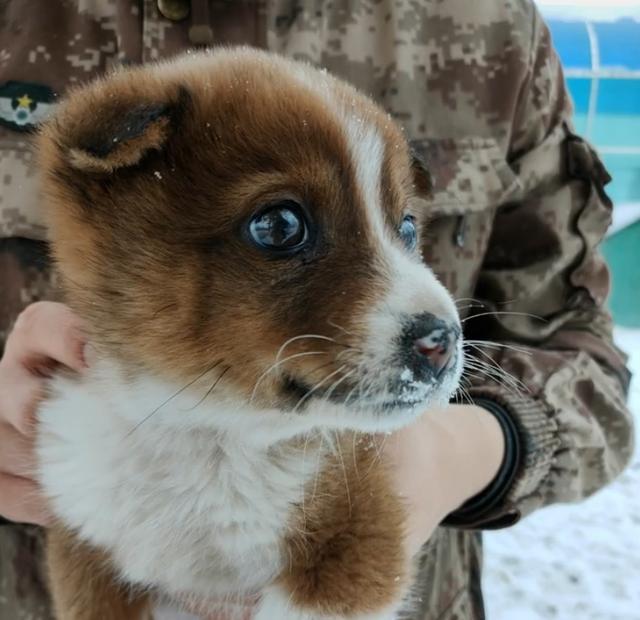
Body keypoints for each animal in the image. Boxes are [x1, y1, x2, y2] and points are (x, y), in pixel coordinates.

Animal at [35, 49, 462, 620]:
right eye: (280, 225)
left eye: (408, 228)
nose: (443, 340)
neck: (212, 434)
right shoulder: (84, 551)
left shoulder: (361, 540)